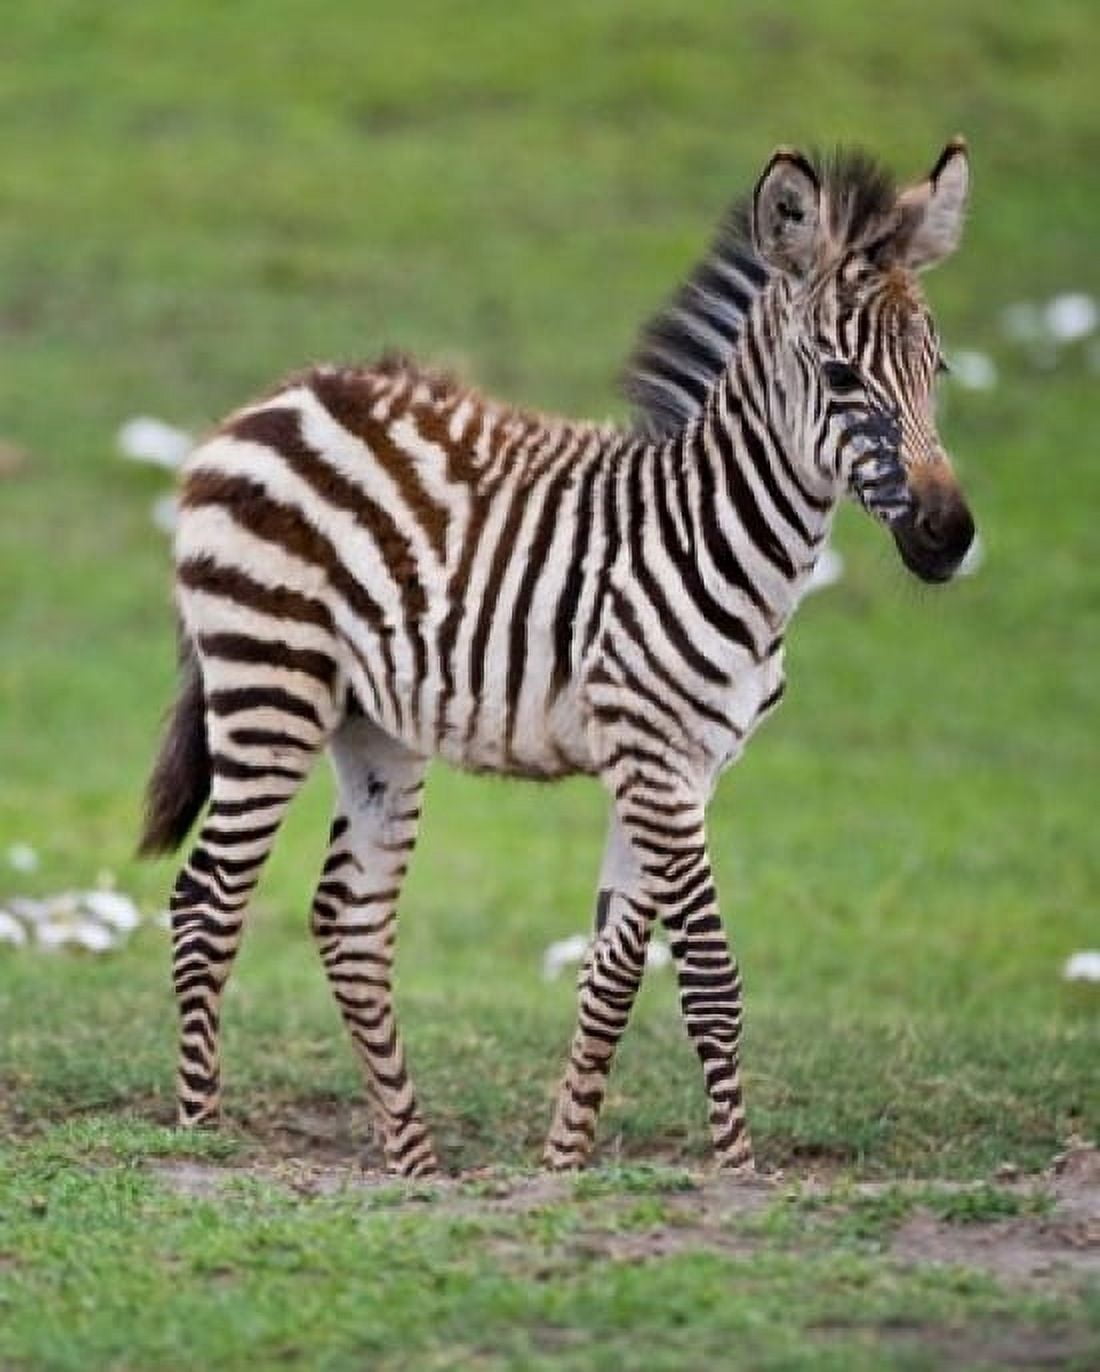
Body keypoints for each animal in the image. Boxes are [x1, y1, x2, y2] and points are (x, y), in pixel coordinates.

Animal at [140, 139, 975, 1177]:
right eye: (840, 375)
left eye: (936, 367)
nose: (949, 536)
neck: (719, 534)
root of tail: (275, 397)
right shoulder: (654, 754)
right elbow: (710, 978)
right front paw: (738, 1174)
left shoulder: (685, 766)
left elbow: (613, 974)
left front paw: (563, 1167)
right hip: (267, 679)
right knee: (207, 904)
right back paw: (200, 1136)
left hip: (371, 723)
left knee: (349, 921)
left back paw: (415, 1167)